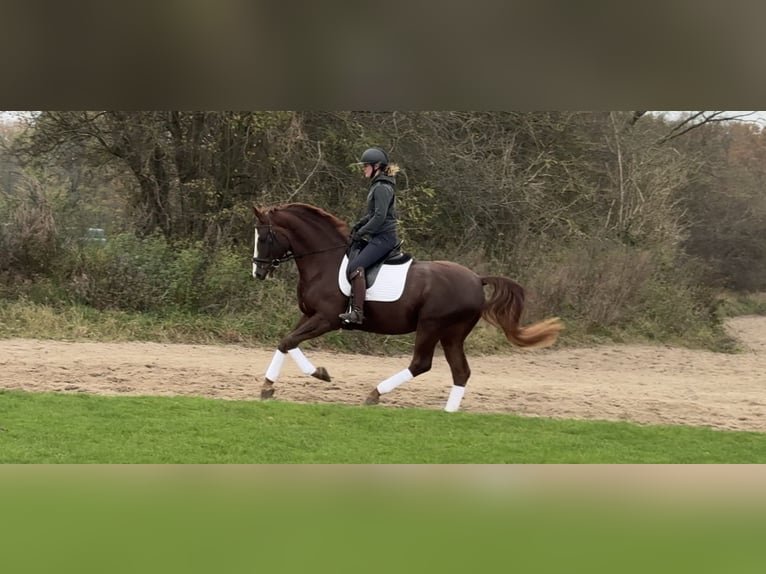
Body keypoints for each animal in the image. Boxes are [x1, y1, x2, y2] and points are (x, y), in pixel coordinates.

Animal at [252, 205, 564, 412]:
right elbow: (286, 342)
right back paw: (449, 413)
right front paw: (277, 383)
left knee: (421, 364)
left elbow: (289, 341)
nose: (258, 272)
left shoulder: (327, 319)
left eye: (265, 238)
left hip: (431, 326)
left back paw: (375, 394)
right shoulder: (309, 315)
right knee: (460, 371)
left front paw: (312, 375)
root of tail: (477, 279)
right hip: (452, 334)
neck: (323, 261)